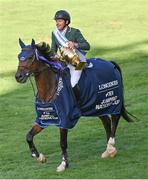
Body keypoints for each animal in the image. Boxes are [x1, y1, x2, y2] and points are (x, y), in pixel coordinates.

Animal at [15, 38, 134, 172]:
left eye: (30, 57)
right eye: (19, 56)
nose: (18, 77)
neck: (50, 87)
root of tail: (110, 63)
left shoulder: (65, 120)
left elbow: (62, 143)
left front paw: (63, 164)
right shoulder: (45, 119)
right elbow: (29, 136)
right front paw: (38, 156)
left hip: (112, 101)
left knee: (115, 118)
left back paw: (111, 144)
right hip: (97, 106)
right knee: (106, 122)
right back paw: (108, 150)